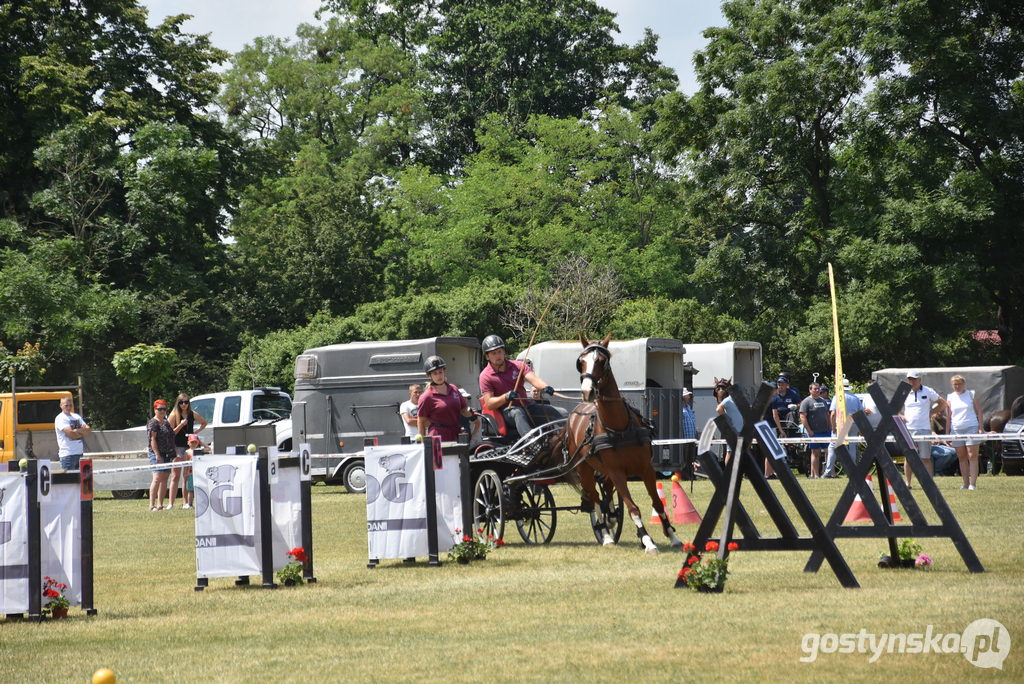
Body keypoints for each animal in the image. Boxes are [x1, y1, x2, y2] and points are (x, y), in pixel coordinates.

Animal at [561, 333, 679, 552]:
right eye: (581, 362)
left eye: (602, 361)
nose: (587, 391)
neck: (620, 428)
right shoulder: (617, 473)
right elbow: (633, 508)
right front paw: (647, 540)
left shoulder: (646, 469)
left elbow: (658, 502)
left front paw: (672, 536)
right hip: (585, 470)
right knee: (595, 500)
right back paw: (606, 535)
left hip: (605, 472)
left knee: (606, 494)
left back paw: (611, 518)